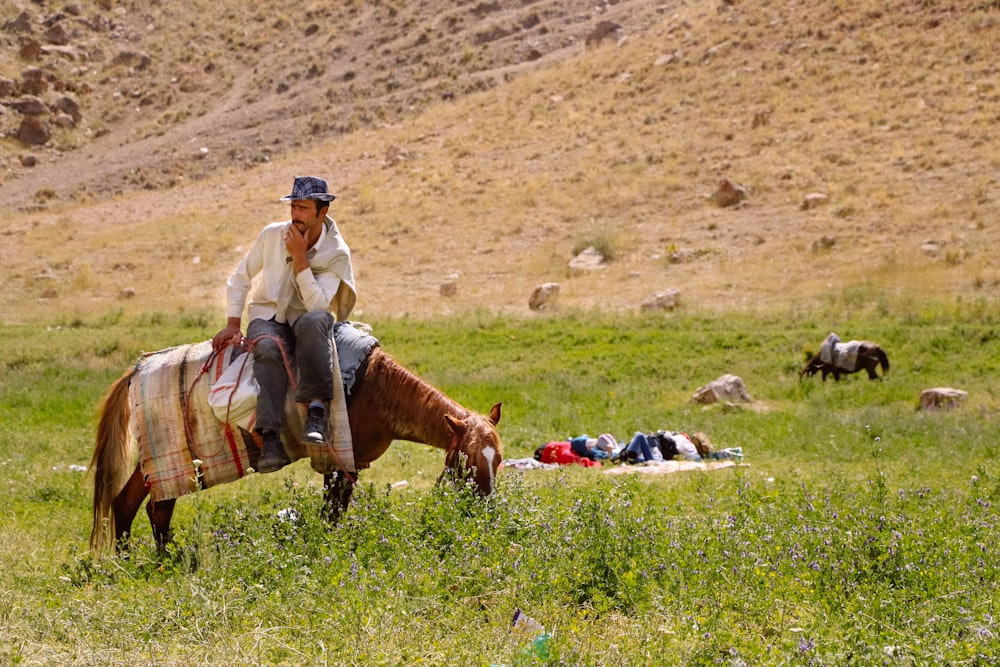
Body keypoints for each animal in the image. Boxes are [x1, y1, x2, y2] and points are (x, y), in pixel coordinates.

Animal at [90, 340, 504, 560]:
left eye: (497, 459)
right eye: (466, 461)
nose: (485, 512)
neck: (374, 387)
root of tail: (136, 373)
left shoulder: (349, 464)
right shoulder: (339, 463)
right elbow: (331, 514)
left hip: (160, 464)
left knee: (130, 504)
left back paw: (138, 560)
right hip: (168, 462)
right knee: (152, 508)